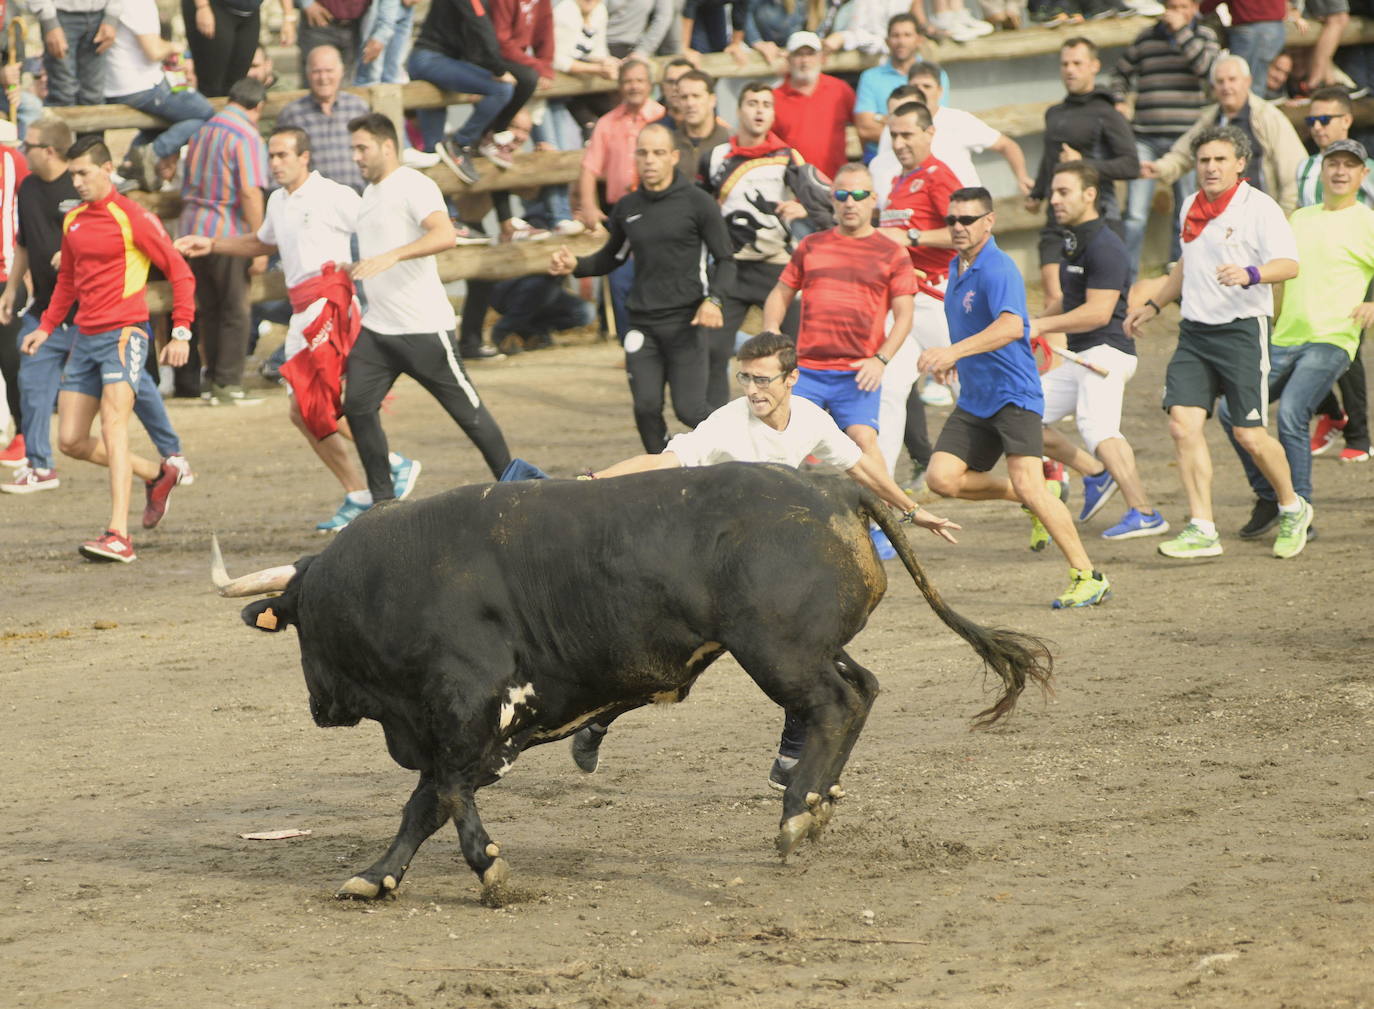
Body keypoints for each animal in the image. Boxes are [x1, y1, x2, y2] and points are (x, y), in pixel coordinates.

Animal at [214, 467, 1049, 901]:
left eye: (296, 624)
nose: (318, 705)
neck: (388, 578)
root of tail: (832, 486)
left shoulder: (470, 708)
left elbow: (443, 791)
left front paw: (489, 867)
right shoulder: (476, 727)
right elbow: (423, 803)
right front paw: (377, 875)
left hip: (777, 652)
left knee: (836, 704)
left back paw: (794, 812)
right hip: (808, 648)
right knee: (863, 688)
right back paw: (816, 805)